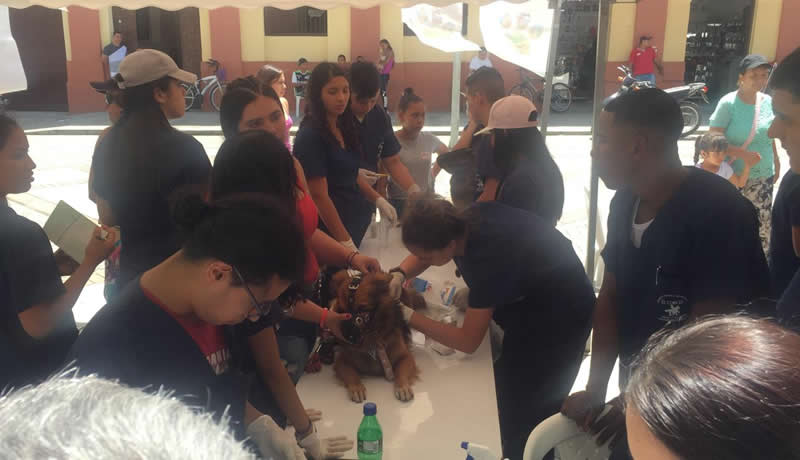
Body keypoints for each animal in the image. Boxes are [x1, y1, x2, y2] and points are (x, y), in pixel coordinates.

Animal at [326, 270, 424, 402]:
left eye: (362, 310)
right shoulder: (342, 362)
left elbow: (401, 372)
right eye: (344, 312)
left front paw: (403, 387)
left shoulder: (405, 357)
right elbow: (351, 374)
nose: (348, 336)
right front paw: (357, 388)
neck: (372, 338)